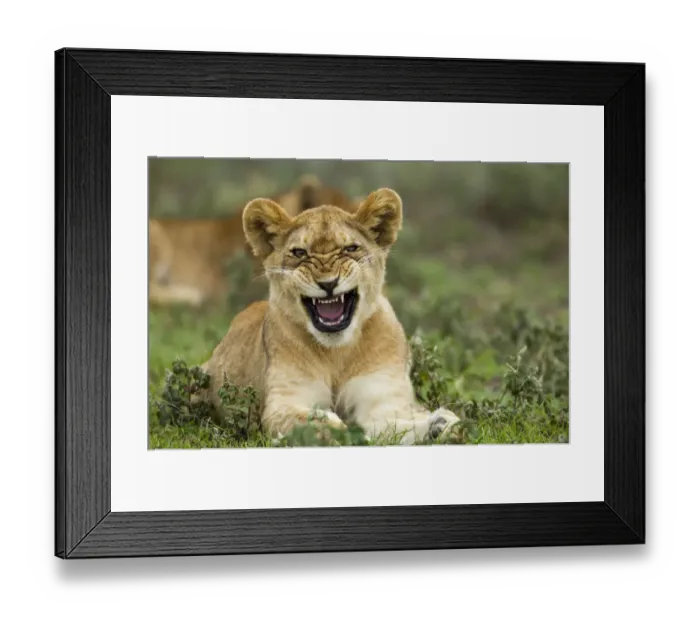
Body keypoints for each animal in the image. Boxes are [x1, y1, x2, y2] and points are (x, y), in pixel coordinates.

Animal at [196, 188, 460, 445]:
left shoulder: (382, 400)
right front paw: (342, 432)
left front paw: (442, 425)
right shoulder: (283, 402)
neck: (336, 353)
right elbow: (312, 422)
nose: (328, 283)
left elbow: (396, 426)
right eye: (299, 252)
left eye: (350, 248)